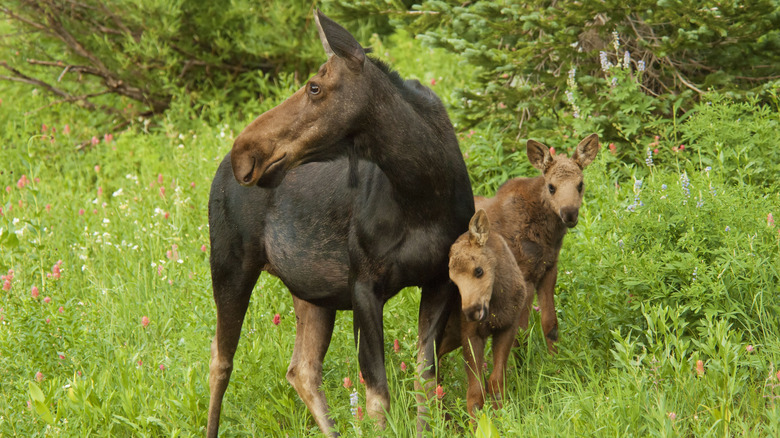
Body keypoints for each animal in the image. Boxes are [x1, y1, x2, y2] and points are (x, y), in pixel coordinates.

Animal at [207, 8, 472, 436]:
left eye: (315, 87)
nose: (243, 151)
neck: (422, 192)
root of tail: (218, 172)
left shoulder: (439, 280)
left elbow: (425, 382)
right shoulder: (363, 284)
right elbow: (378, 396)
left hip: (312, 290)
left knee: (301, 369)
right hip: (230, 265)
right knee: (220, 360)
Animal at [442, 209, 528, 418]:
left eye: (478, 270)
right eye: (453, 281)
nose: (471, 312)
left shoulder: (508, 327)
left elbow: (496, 381)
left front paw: (500, 417)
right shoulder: (469, 334)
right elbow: (475, 391)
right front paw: (476, 423)